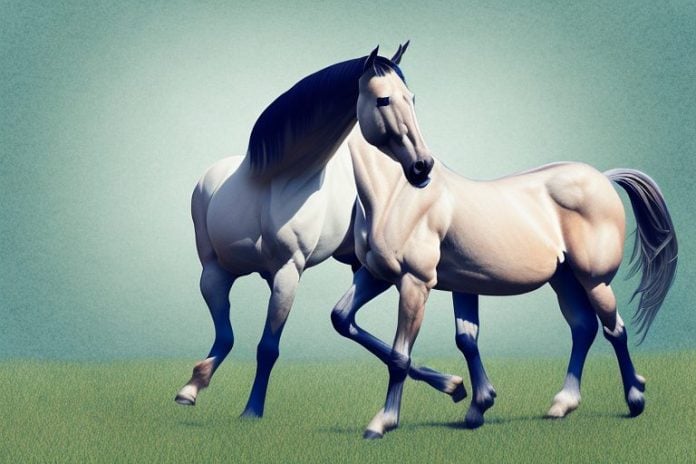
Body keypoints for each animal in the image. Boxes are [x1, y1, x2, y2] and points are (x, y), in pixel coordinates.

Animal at [175, 44, 466, 418]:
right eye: (384, 100)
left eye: (411, 98)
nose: (422, 166)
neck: (272, 180)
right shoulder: (215, 272)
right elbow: (229, 336)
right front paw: (193, 387)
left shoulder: (288, 271)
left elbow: (266, 346)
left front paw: (251, 410)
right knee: (347, 321)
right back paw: (449, 383)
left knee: (348, 321)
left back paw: (450, 383)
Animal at [331, 132, 678, 438]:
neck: (398, 196)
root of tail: (603, 178)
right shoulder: (382, 276)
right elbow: (344, 319)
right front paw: (471, 400)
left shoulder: (413, 282)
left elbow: (400, 355)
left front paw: (383, 422)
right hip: (564, 279)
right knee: (583, 328)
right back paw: (563, 403)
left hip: (594, 281)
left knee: (614, 330)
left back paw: (635, 398)